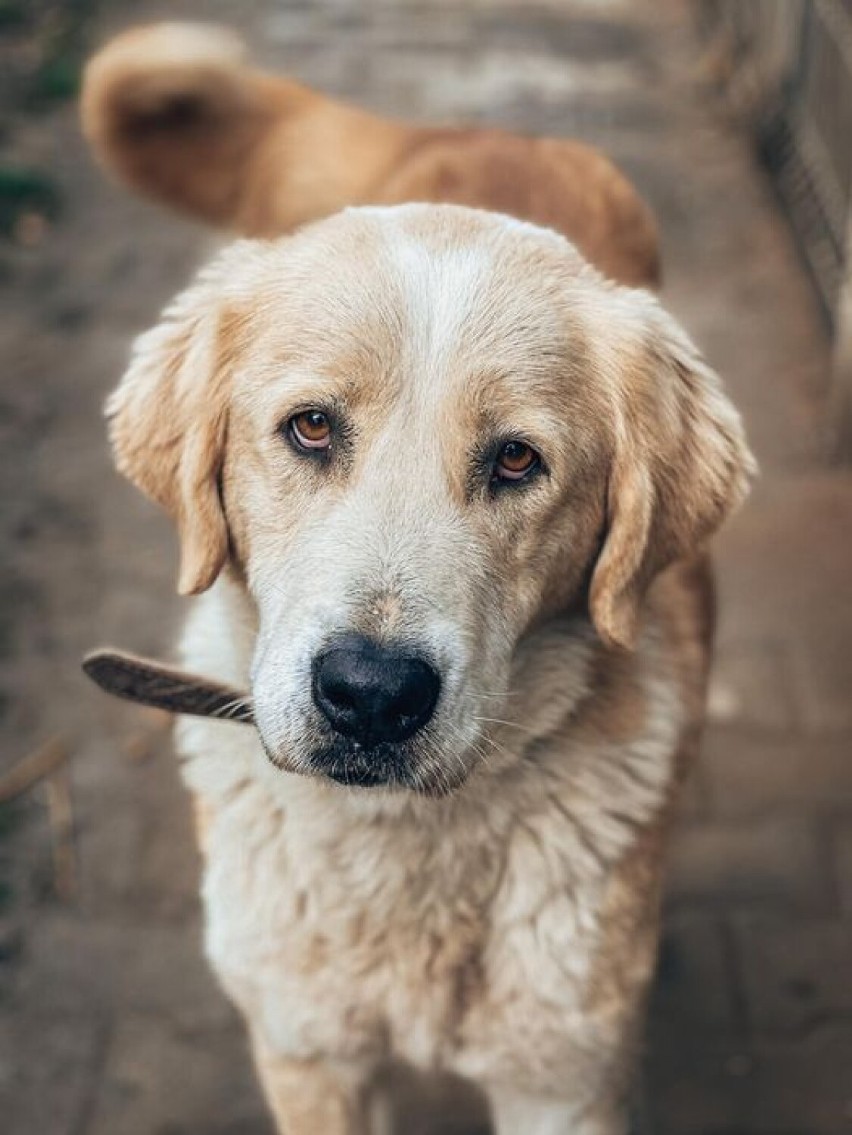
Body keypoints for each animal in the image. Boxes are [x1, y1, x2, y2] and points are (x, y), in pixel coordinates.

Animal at [83, 20, 757, 1135]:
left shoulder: (561, 1085)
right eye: (312, 427)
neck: (402, 853)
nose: (370, 695)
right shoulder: (309, 1053)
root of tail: (475, 125)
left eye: (517, 459)